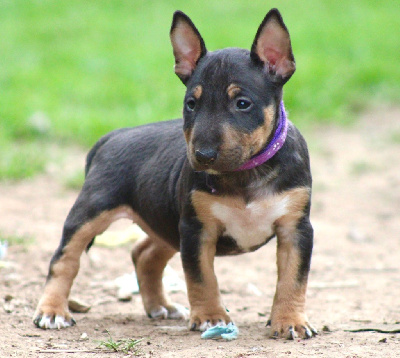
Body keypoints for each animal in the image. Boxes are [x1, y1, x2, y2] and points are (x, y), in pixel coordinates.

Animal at [33, 7, 316, 338]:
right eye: (191, 104)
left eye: (242, 103)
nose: (203, 156)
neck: (245, 173)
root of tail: (113, 136)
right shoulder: (196, 229)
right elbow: (202, 278)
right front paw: (211, 317)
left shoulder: (296, 229)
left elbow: (293, 279)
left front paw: (290, 321)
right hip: (92, 210)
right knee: (65, 259)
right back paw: (52, 311)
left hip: (166, 221)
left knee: (144, 254)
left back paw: (160, 307)